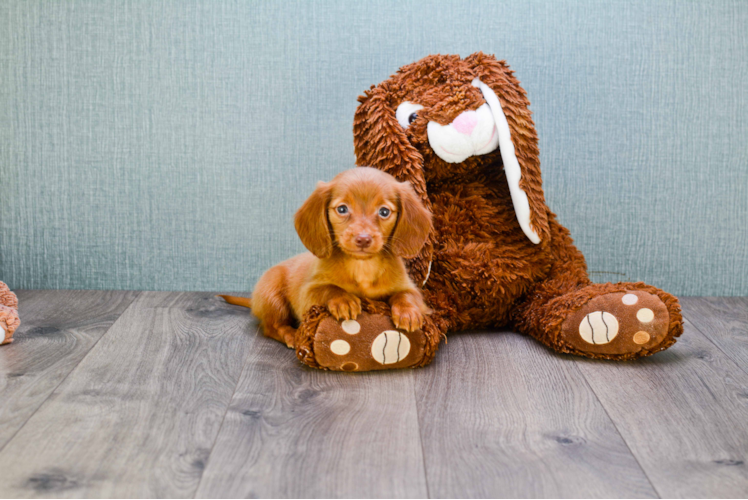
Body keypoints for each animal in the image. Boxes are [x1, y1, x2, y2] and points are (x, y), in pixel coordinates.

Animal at [222, 168, 430, 348]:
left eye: (384, 212)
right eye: (342, 209)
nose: (363, 239)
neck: (362, 266)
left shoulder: (409, 288)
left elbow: (406, 295)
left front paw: (408, 311)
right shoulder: (308, 294)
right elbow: (329, 288)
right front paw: (343, 300)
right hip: (272, 295)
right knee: (271, 326)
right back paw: (290, 334)